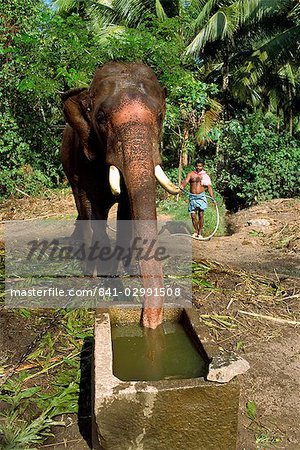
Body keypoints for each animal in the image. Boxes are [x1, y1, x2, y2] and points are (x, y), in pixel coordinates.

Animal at [59, 61, 179, 328]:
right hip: (69, 170)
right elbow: (94, 208)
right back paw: (89, 272)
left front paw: (126, 272)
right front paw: (108, 279)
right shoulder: (84, 159)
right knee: (83, 210)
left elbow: (126, 209)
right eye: (100, 118)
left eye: (160, 116)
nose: (150, 322)